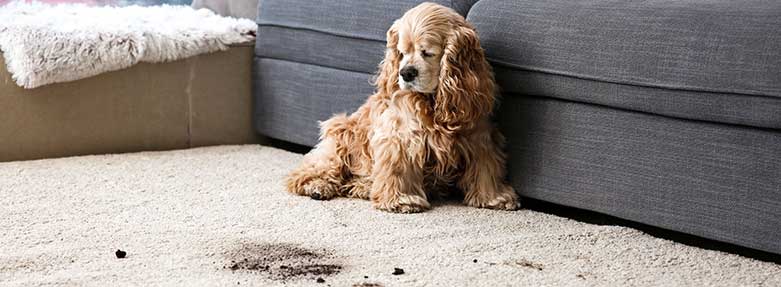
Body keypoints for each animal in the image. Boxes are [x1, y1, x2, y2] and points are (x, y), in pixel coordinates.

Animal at [284, 2, 516, 214]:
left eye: (427, 53)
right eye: (402, 53)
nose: (406, 73)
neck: (433, 102)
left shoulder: (479, 136)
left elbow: (486, 168)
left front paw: (494, 197)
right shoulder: (400, 137)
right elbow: (398, 168)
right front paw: (402, 201)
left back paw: (363, 187)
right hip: (340, 139)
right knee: (305, 172)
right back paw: (317, 186)